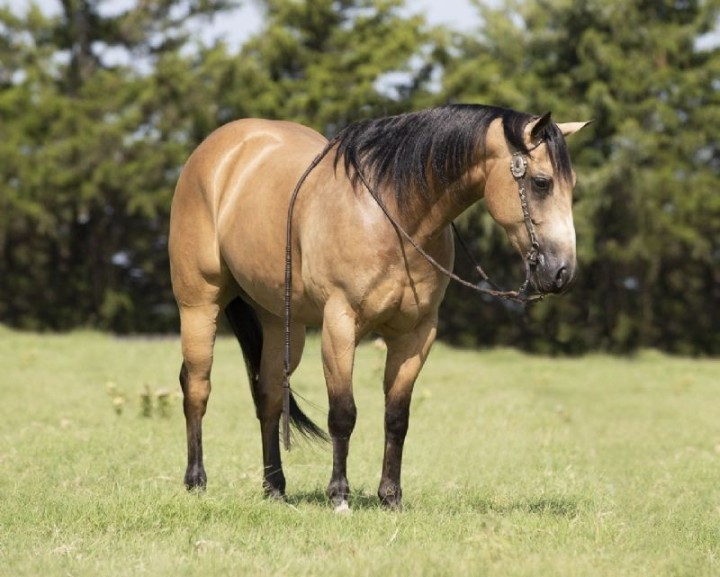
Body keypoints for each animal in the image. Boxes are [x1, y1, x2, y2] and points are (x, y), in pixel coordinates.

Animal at [168, 104, 589, 511]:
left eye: (571, 187)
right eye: (541, 182)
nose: (563, 273)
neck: (394, 215)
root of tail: (217, 150)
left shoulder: (416, 334)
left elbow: (396, 417)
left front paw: (390, 496)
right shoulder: (339, 324)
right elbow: (343, 414)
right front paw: (339, 495)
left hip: (280, 323)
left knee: (269, 396)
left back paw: (274, 489)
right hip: (199, 305)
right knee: (197, 387)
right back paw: (195, 481)